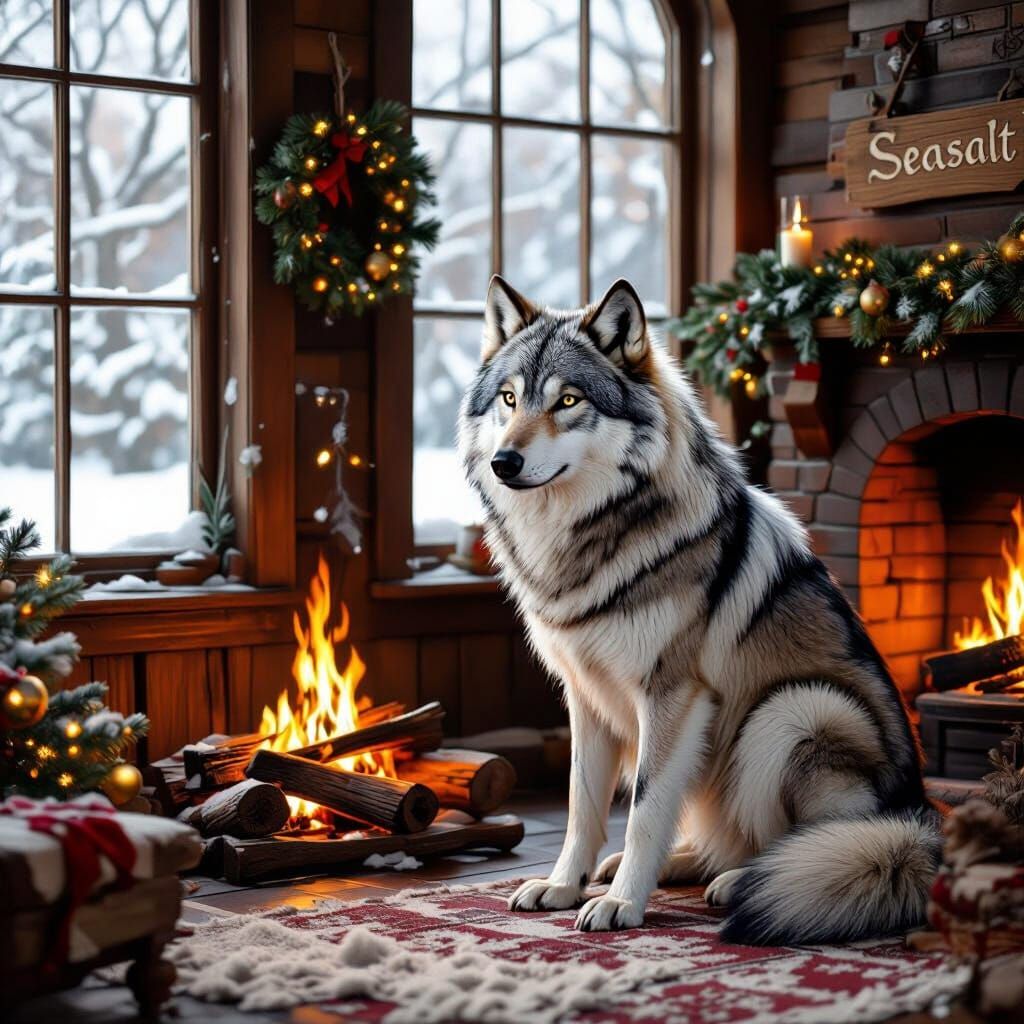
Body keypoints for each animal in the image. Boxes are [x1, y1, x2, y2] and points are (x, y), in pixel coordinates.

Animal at [457, 275, 942, 943]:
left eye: (568, 400)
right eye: (509, 398)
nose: (504, 462)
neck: (590, 536)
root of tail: (922, 829)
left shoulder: (672, 695)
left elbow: (644, 807)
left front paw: (622, 905)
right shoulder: (585, 698)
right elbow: (583, 807)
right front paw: (562, 886)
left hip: (791, 711)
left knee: (803, 846)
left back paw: (746, 884)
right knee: (720, 843)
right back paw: (670, 866)